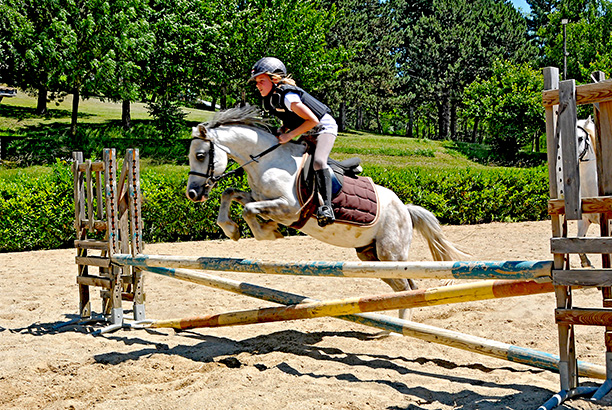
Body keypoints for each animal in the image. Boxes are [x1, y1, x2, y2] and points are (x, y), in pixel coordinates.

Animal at [185, 105, 464, 314]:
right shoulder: (259, 197)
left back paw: (396, 333)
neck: (267, 160)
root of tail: (405, 210)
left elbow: (249, 210)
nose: (193, 194)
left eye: (200, 155)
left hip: (391, 255)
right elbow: (231, 194)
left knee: (407, 289)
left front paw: (268, 232)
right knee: (404, 289)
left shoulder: (289, 208)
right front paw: (232, 229)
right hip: (371, 257)